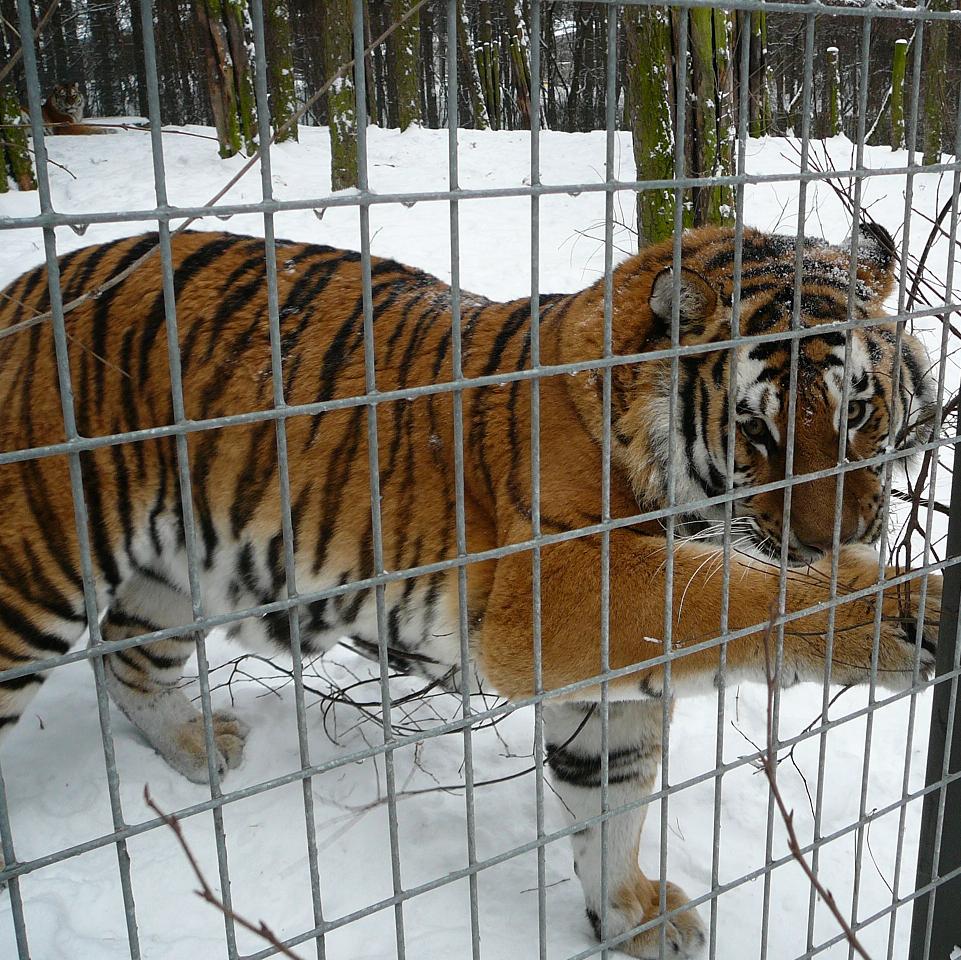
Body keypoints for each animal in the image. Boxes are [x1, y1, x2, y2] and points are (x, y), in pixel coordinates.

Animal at [0, 223, 942, 958]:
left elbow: (610, 799)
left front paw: (629, 917)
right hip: (36, 568)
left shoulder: (597, 680)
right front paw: (892, 612)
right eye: (755, 429)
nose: (833, 539)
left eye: (857, 411)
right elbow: (729, 592)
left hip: (175, 568)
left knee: (125, 657)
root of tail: (28, 281)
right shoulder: (555, 587)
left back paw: (198, 746)